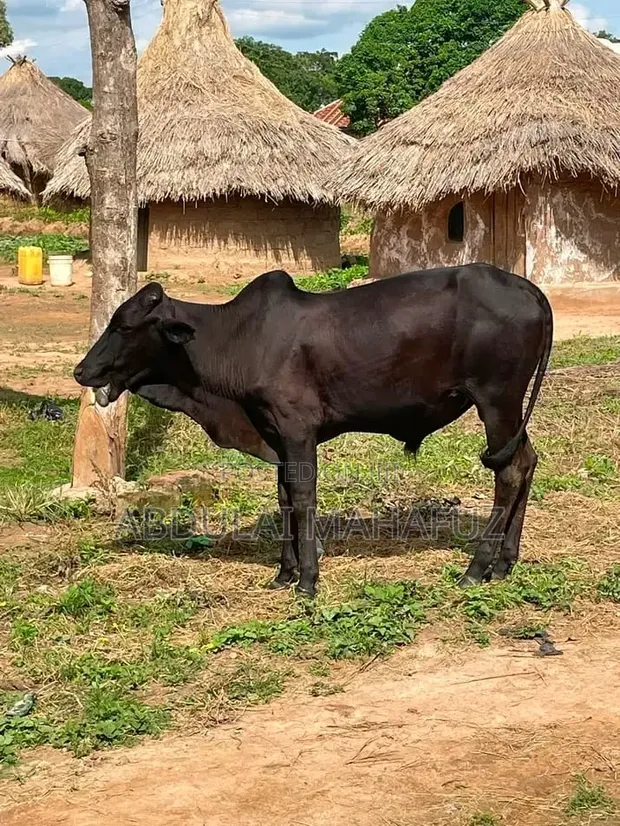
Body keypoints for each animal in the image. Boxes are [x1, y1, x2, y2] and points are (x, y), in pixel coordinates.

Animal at [74, 263, 553, 598]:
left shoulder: (297, 429)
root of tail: (528, 288)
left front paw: (307, 578)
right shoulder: (274, 434)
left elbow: (303, 498)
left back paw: (476, 569)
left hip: (496, 401)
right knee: (526, 462)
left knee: (508, 473)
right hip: (509, 411)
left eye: (124, 326)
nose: (82, 371)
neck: (236, 340)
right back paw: (504, 564)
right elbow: (284, 495)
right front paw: (283, 573)